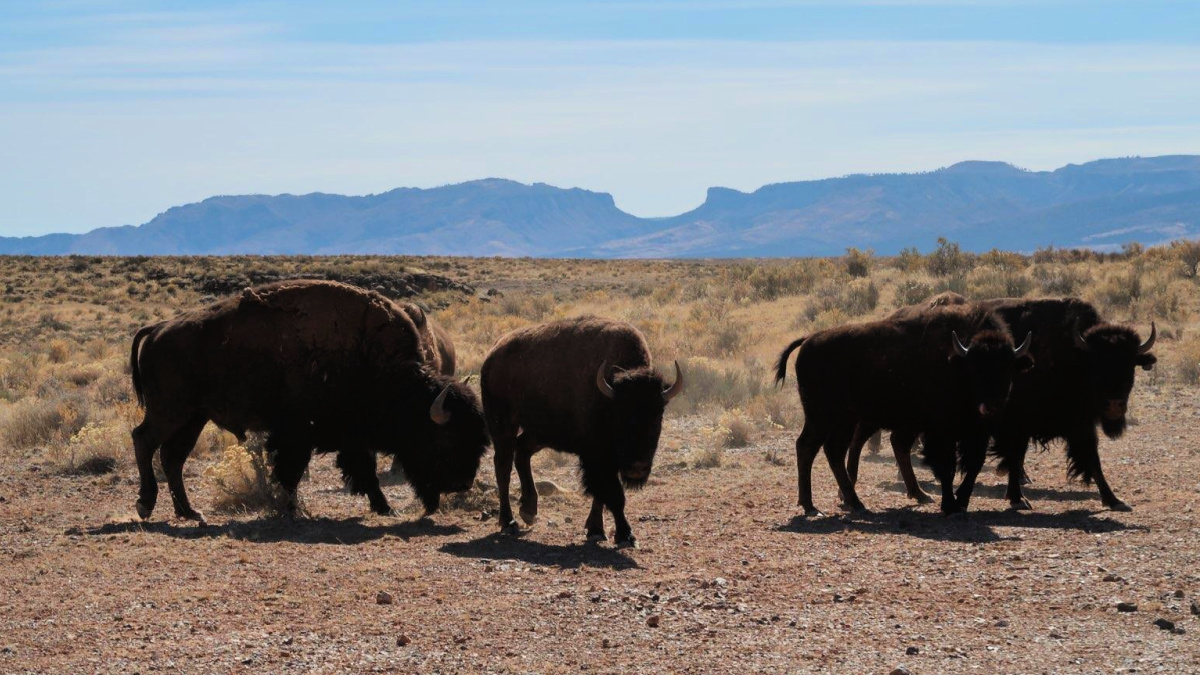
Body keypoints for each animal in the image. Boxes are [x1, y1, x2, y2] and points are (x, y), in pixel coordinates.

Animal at [129, 278, 489, 521]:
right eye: (444, 439)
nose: (461, 483)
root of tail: (159, 328)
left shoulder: (352, 436)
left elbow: (363, 471)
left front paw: (383, 507)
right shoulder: (298, 434)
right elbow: (295, 470)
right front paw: (290, 509)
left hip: (194, 417)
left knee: (172, 457)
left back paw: (190, 512)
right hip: (170, 411)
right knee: (144, 440)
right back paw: (146, 505)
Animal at [480, 317, 686, 547]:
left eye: (657, 416)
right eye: (619, 416)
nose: (637, 468)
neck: (607, 398)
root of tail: (492, 356)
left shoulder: (607, 459)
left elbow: (601, 495)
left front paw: (596, 530)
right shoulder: (597, 456)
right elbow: (613, 494)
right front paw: (625, 535)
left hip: (539, 433)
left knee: (522, 453)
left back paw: (529, 510)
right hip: (503, 424)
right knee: (503, 466)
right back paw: (509, 522)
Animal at [777, 302, 1032, 511]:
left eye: (1007, 369)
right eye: (975, 369)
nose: (992, 406)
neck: (957, 361)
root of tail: (808, 340)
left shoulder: (977, 432)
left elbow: (973, 465)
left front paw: (961, 502)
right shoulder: (941, 432)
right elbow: (947, 467)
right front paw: (950, 505)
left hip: (840, 420)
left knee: (829, 450)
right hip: (825, 417)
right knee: (814, 448)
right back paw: (820, 505)